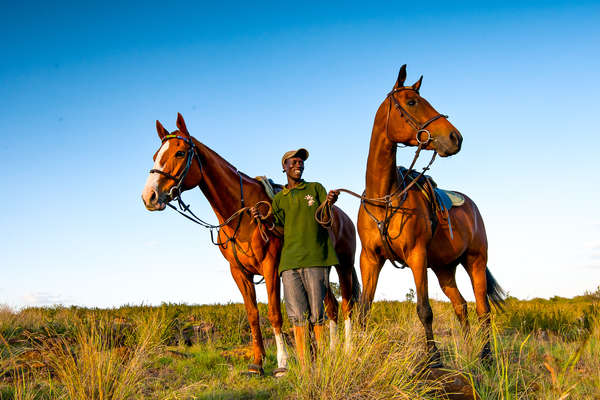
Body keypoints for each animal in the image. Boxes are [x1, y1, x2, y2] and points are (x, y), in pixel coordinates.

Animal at [143, 113, 358, 376]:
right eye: (156, 155)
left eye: (180, 153)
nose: (149, 196)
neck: (243, 213)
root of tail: (340, 214)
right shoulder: (239, 272)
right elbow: (253, 315)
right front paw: (257, 362)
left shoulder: (271, 267)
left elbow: (274, 314)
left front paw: (282, 362)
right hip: (324, 271)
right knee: (331, 307)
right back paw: (330, 352)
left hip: (344, 266)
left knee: (346, 305)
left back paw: (347, 351)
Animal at [358, 65, 504, 362]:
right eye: (412, 102)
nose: (455, 137)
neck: (384, 198)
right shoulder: (369, 259)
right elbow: (364, 310)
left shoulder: (416, 255)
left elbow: (424, 310)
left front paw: (433, 357)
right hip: (444, 268)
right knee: (461, 306)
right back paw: (471, 350)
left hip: (475, 262)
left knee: (483, 310)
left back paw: (486, 355)